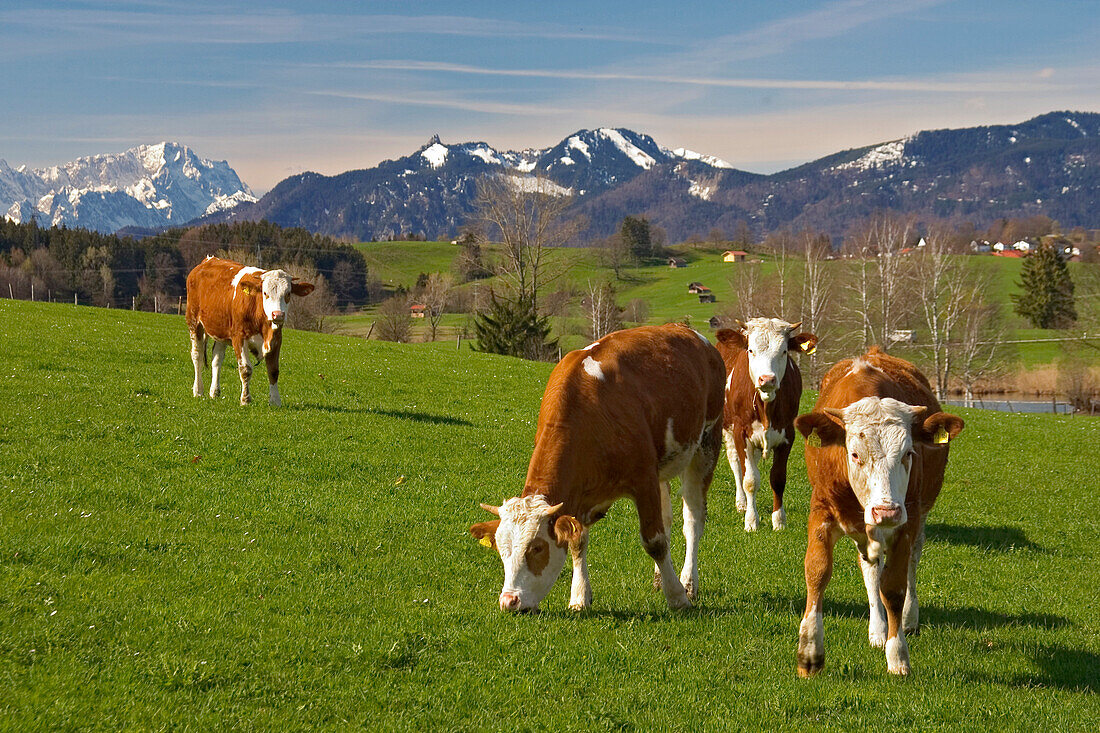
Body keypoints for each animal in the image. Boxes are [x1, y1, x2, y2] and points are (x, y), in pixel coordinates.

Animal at [184, 255, 314, 405]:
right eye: (265, 293)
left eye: (288, 294)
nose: (278, 315)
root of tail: (207, 260)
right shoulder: (238, 338)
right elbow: (246, 369)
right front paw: (245, 399)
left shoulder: (276, 339)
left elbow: (273, 370)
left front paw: (275, 401)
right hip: (194, 322)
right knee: (197, 355)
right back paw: (198, 390)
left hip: (221, 330)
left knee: (217, 358)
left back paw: (214, 392)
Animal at [468, 323, 726, 611]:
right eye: (501, 550)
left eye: (537, 548)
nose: (509, 601)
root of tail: (687, 330)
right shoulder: (579, 496)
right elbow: (577, 541)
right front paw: (580, 596)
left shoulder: (643, 479)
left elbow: (655, 541)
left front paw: (678, 597)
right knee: (668, 518)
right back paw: (661, 579)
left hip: (707, 442)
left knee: (693, 520)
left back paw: (688, 583)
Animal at [712, 316, 818, 528]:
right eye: (751, 350)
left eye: (784, 351)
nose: (767, 379)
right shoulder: (741, 433)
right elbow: (750, 479)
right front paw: (751, 521)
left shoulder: (787, 434)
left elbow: (777, 479)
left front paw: (779, 521)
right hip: (727, 428)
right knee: (736, 464)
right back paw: (742, 503)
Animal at [792, 347, 963, 673]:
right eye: (854, 454)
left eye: (908, 453)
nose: (886, 512)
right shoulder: (821, 509)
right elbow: (817, 571)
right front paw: (810, 651)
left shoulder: (907, 521)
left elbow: (894, 587)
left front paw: (897, 655)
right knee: (870, 568)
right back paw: (877, 629)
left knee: (911, 563)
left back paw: (908, 619)